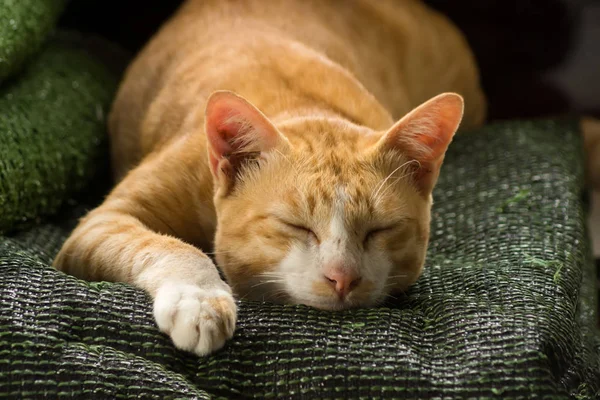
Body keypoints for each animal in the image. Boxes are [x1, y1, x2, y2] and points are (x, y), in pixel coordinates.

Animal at [52, 0, 488, 356]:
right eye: (295, 226)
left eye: (380, 230)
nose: (343, 278)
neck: (304, 106)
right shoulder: (102, 222)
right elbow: (174, 247)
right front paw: (201, 300)